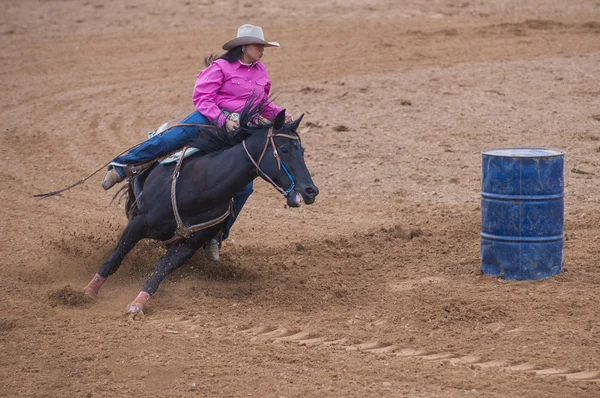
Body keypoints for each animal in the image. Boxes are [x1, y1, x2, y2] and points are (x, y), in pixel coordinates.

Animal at [84, 106, 322, 318]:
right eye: (284, 149)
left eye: (302, 151)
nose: (311, 190)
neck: (202, 185)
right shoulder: (138, 224)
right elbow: (114, 259)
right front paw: (88, 292)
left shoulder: (188, 245)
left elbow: (159, 272)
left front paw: (137, 304)